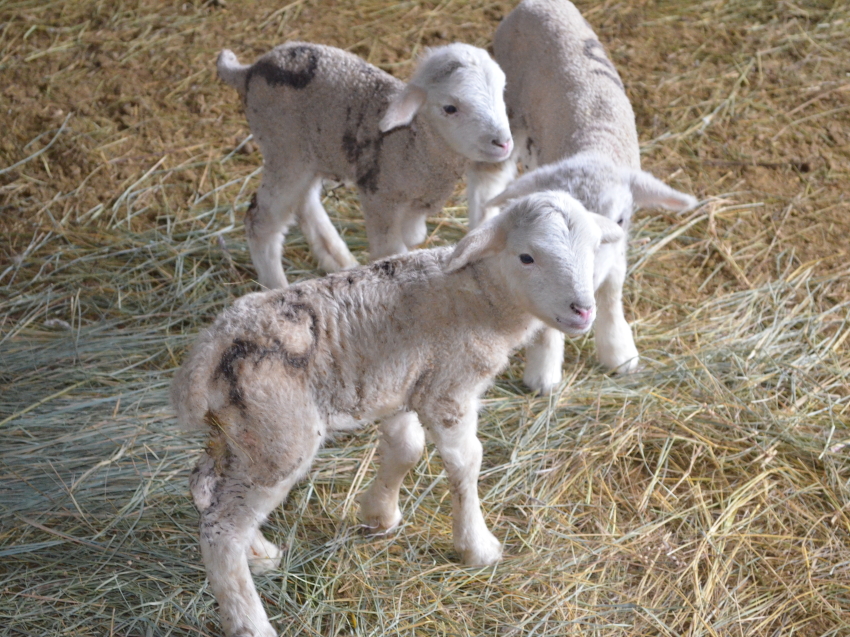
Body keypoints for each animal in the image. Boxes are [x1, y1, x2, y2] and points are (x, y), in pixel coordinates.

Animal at [171, 190, 624, 636]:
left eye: (592, 250)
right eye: (526, 257)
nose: (582, 309)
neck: (478, 292)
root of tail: (209, 348)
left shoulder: (397, 384)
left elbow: (406, 447)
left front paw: (379, 515)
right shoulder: (449, 391)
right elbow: (466, 461)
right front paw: (477, 546)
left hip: (240, 431)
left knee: (205, 485)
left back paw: (260, 552)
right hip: (279, 438)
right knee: (222, 530)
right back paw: (250, 619)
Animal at [217, 40, 510, 288]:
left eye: (502, 93)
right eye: (450, 108)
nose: (504, 143)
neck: (413, 144)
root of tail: (249, 70)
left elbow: (414, 237)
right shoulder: (380, 197)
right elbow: (391, 251)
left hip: (311, 153)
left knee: (306, 201)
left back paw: (340, 261)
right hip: (284, 149)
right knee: (260, 221)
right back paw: (276, 287)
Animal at [468, 0, 700, 392]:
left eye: (619, 220)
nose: (581, 294)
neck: (595, 142)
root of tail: (536, 4)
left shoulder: (619, 244)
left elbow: (612, 290)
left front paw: (619, 352)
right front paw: (544, 371)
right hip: (508, 114)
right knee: (490, 181)